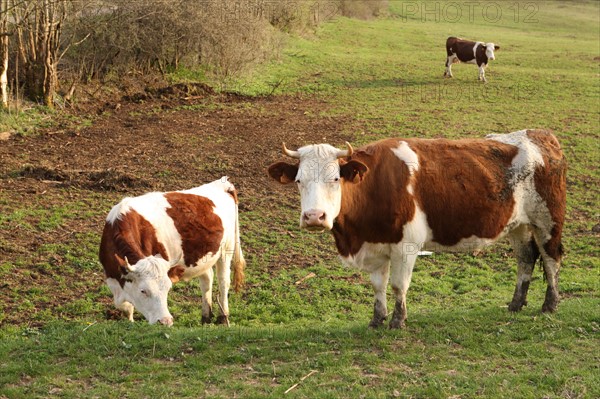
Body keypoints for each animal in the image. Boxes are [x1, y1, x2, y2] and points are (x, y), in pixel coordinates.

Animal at [99, 177, 245, 326]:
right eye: (143, 291)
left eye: (168, 288)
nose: (165, 321)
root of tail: (223, 182)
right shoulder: (112, 277)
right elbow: (126, 307)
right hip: (203, 257)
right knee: (207, 279)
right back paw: (206, 317)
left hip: (227, 249)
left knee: (223, 281)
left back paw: (223, 317)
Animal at [268, 130, 568, 330]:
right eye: (298, 180)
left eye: (334, 179)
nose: (314, 217)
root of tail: (541, 135)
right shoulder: (375, 245)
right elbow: (378, 285)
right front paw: (377, 319)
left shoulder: (406, 246)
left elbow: (399, 285)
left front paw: (398, 320)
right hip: (519, 226)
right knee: (526, 259)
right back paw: (516, 304)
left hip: (548, 222)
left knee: (551, 259)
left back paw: (550, 305)